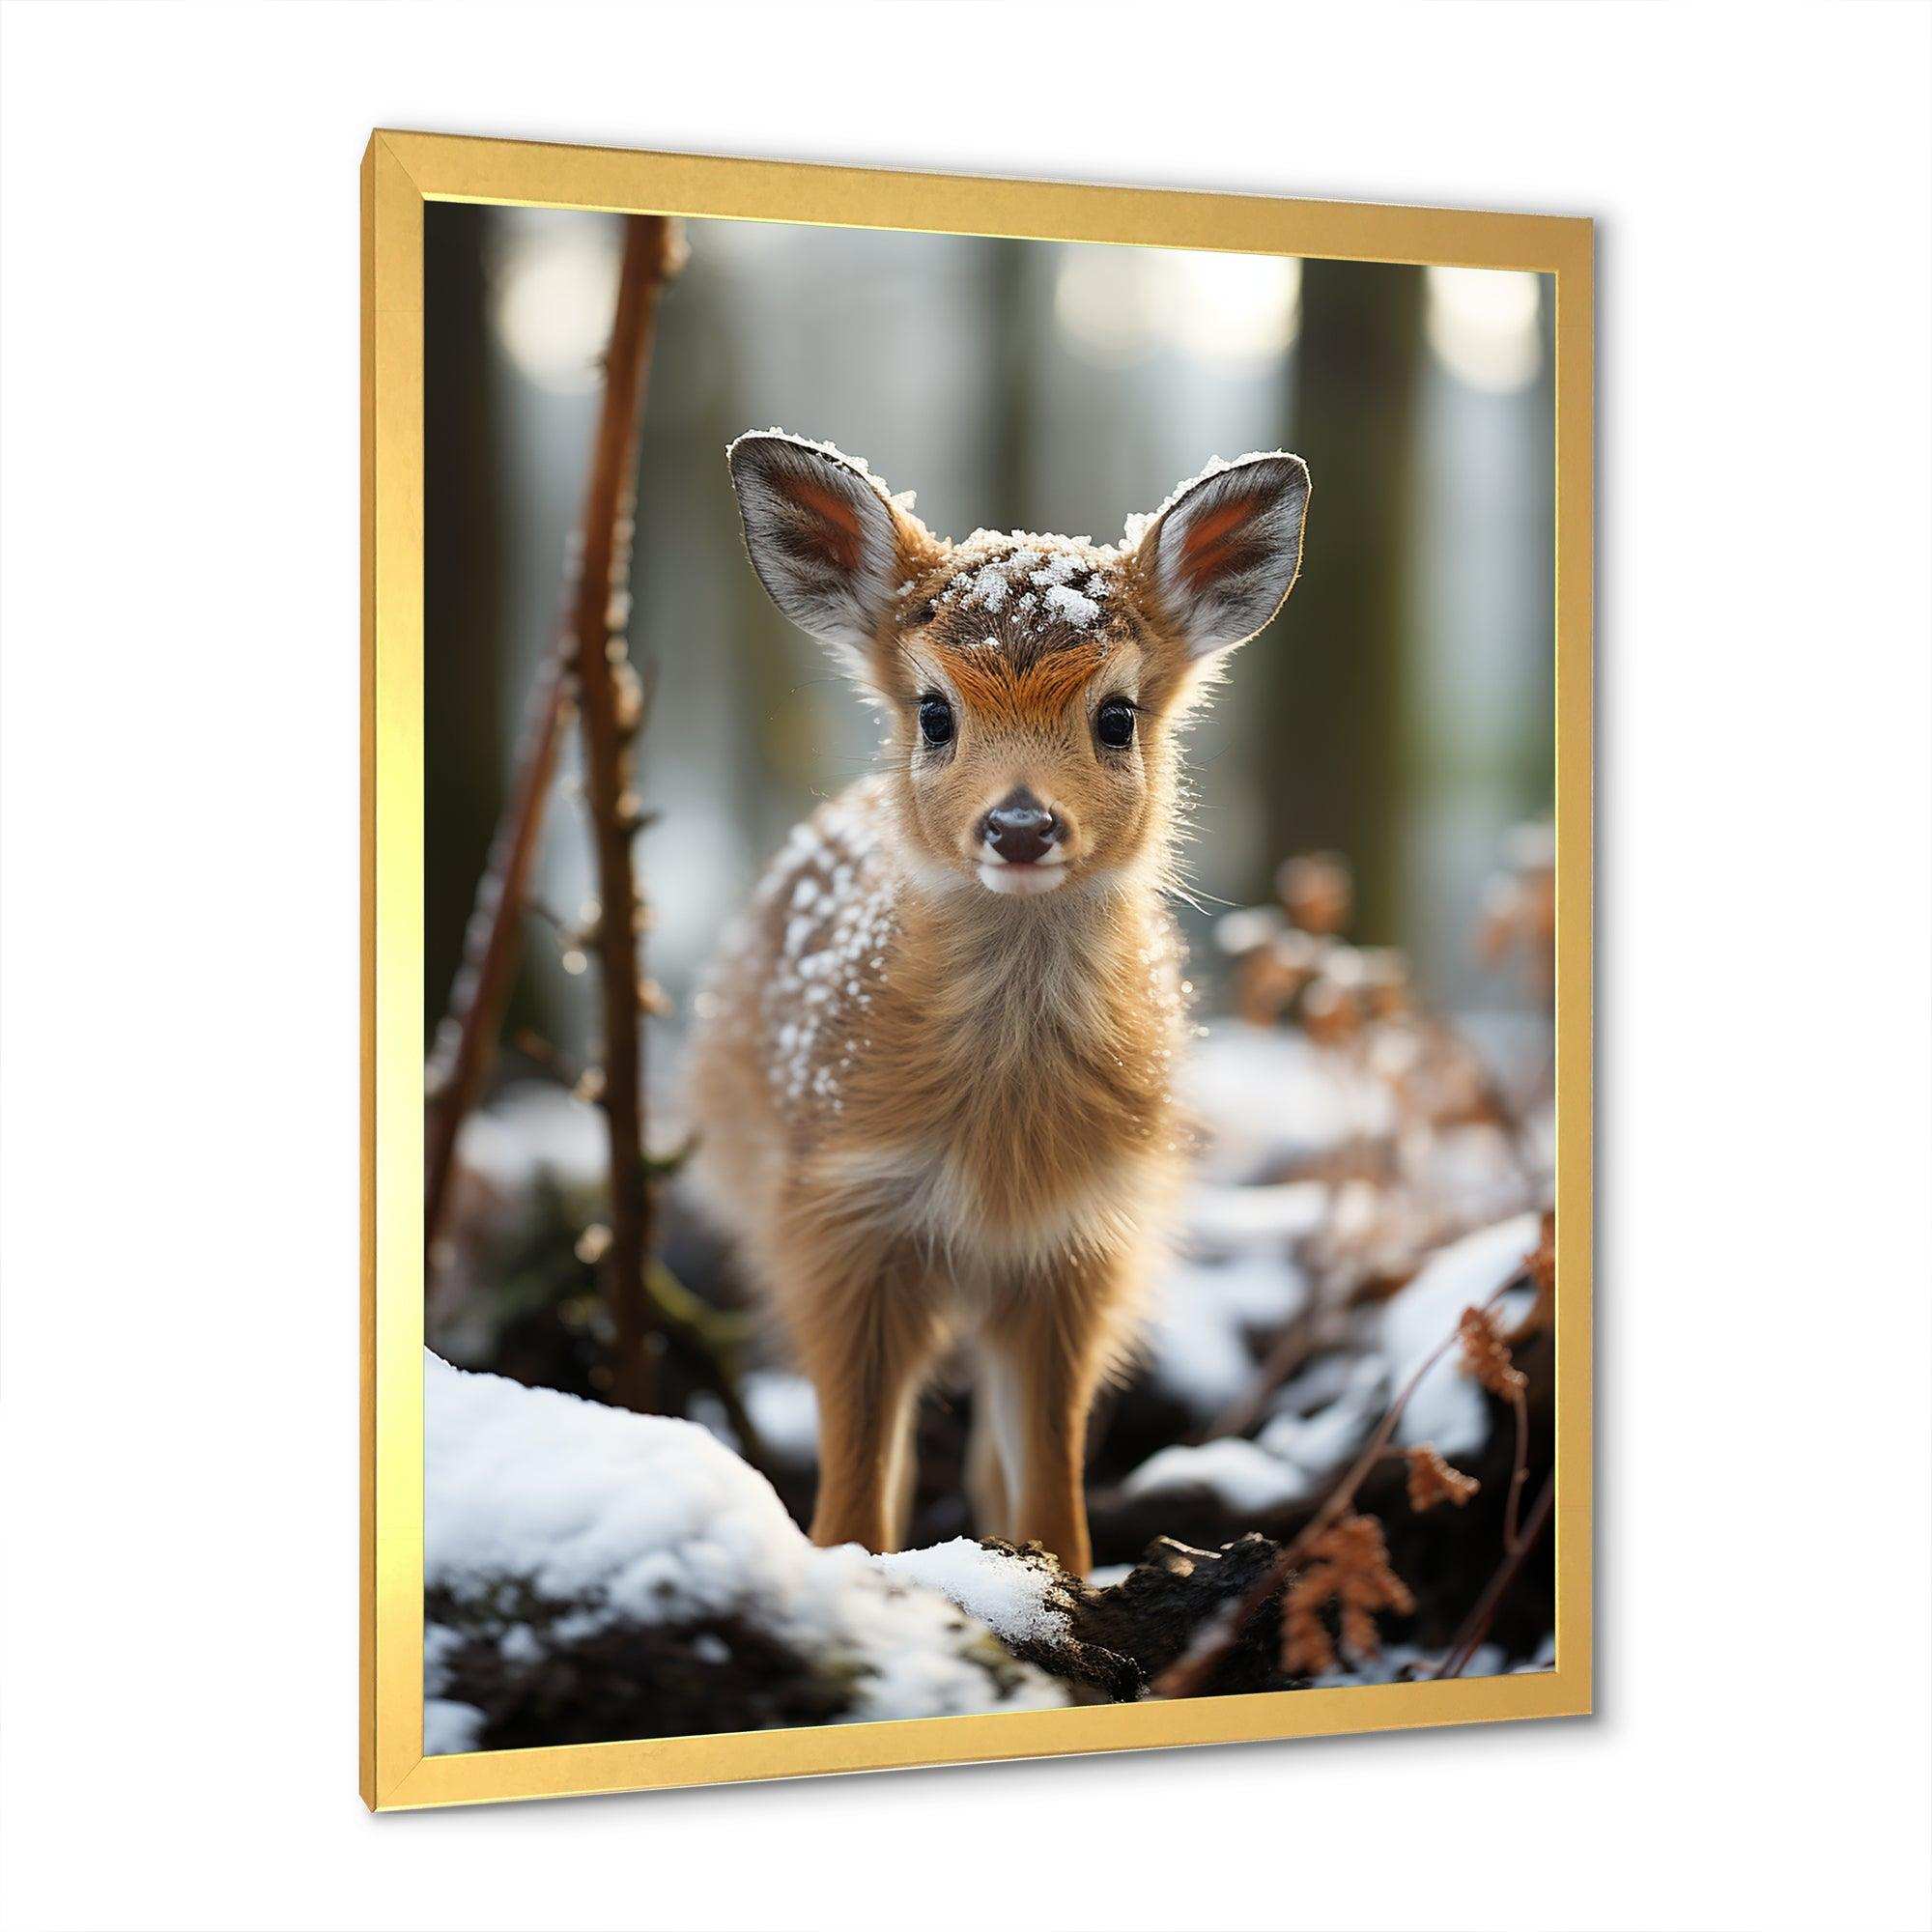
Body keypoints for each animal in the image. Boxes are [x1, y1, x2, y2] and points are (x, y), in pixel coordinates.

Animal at [687, 431, 1311, 1576]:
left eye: (1115, 715)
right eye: (935, 712)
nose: (1020, 825)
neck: (996, 1150)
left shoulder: (1079, 1245)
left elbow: (1051, 1468)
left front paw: (1061, 1584)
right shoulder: (836, 1218)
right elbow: (856, 1478)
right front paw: (863, 1579)